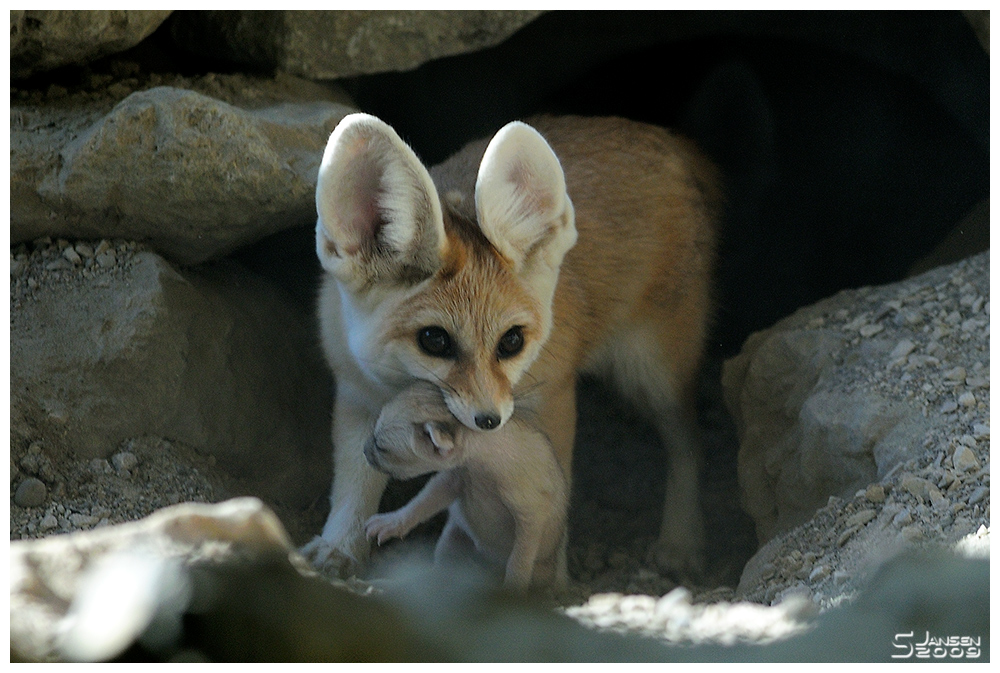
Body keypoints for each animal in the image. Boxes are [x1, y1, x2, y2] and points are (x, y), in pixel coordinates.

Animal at [362, 380, 568, 592]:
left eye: (381, 447)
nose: (363, 451)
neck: (483, 467)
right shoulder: (455, 479)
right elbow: (422, 503)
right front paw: (392, 522)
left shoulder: (532, 513)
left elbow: (519, 559)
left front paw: (513, 589)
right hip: (451, 540)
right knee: (442, 572)